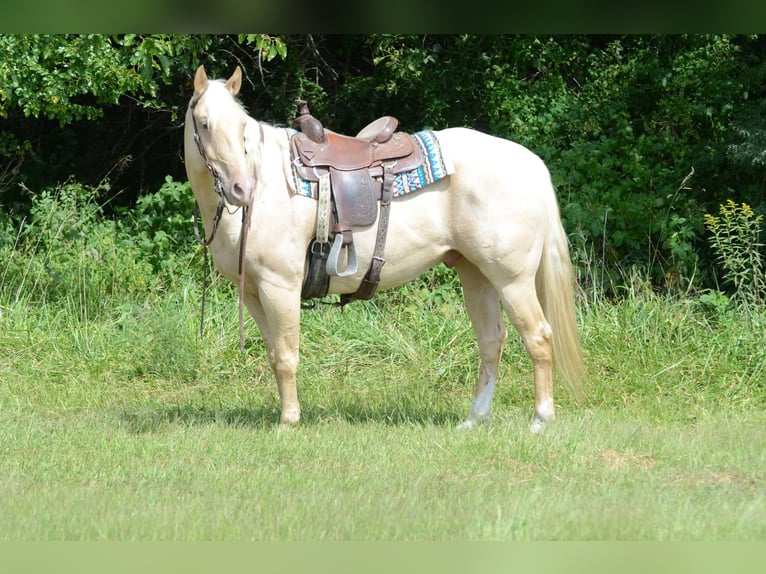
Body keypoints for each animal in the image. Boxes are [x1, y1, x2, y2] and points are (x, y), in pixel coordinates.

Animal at [184, 65, 585, 432]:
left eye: (242, 127)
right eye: (204, 124)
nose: (241, 189)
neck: (268, 184)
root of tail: (532, 164)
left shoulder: (279, 286)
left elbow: (286, 356)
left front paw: (288, 422)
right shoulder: (254, 292)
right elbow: (272, 354)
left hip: (513, 280)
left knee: (538, 337)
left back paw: (540, 419)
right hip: (477, 275)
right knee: (491, 341)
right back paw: (474, 419)